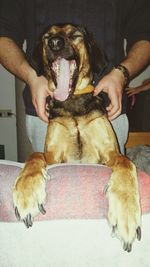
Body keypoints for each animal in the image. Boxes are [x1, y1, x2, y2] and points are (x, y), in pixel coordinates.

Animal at [12, 23, 141, 253]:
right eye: (47, 36)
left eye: (75, 35)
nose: (54, 43)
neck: (72, 101)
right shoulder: (54, 156)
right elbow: (34, 156)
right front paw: (27, 189)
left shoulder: (109, 153)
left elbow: (126, 163)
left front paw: (125, 209)